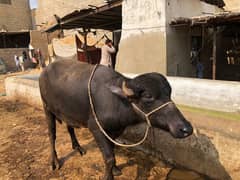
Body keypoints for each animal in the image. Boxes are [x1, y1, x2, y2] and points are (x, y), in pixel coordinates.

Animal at [39, 60, 193, 179]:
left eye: (169, 93)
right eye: (148, 96)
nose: (186, 128)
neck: (116, 101)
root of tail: (44, 71)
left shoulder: (115, 130)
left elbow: (112, 151)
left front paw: (115, 169)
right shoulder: (96, 129)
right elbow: (109, 157)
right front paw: (108, 176)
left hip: (68, 112)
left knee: (69, 127)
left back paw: (78, 147)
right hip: (47, 108)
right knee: (52, 135)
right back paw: (55, 162)